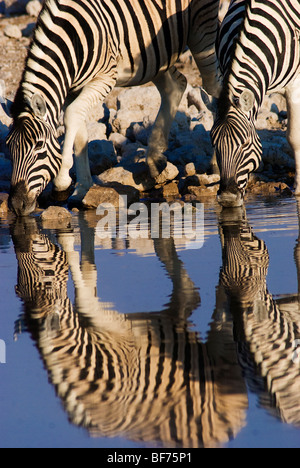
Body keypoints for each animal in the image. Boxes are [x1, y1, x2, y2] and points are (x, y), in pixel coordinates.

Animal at [0, 0, 223, 216]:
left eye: (38, 146)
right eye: (8, 146)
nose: (16, 206)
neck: (71, 42)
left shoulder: (104, 78)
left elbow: (71, 116)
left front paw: (62, 181)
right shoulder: (73, 88)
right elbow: (79, 130)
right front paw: (81, 188)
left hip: (202, 31)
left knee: (215, 89)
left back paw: (216, 163)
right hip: (157, 55)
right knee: (176, 86)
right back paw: (155, 157)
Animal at [209, 0, 300, 207]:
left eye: (245, 144)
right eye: (214, 143)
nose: (227, 198)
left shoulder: (294, 85)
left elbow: (293, 137)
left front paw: (298, 188)